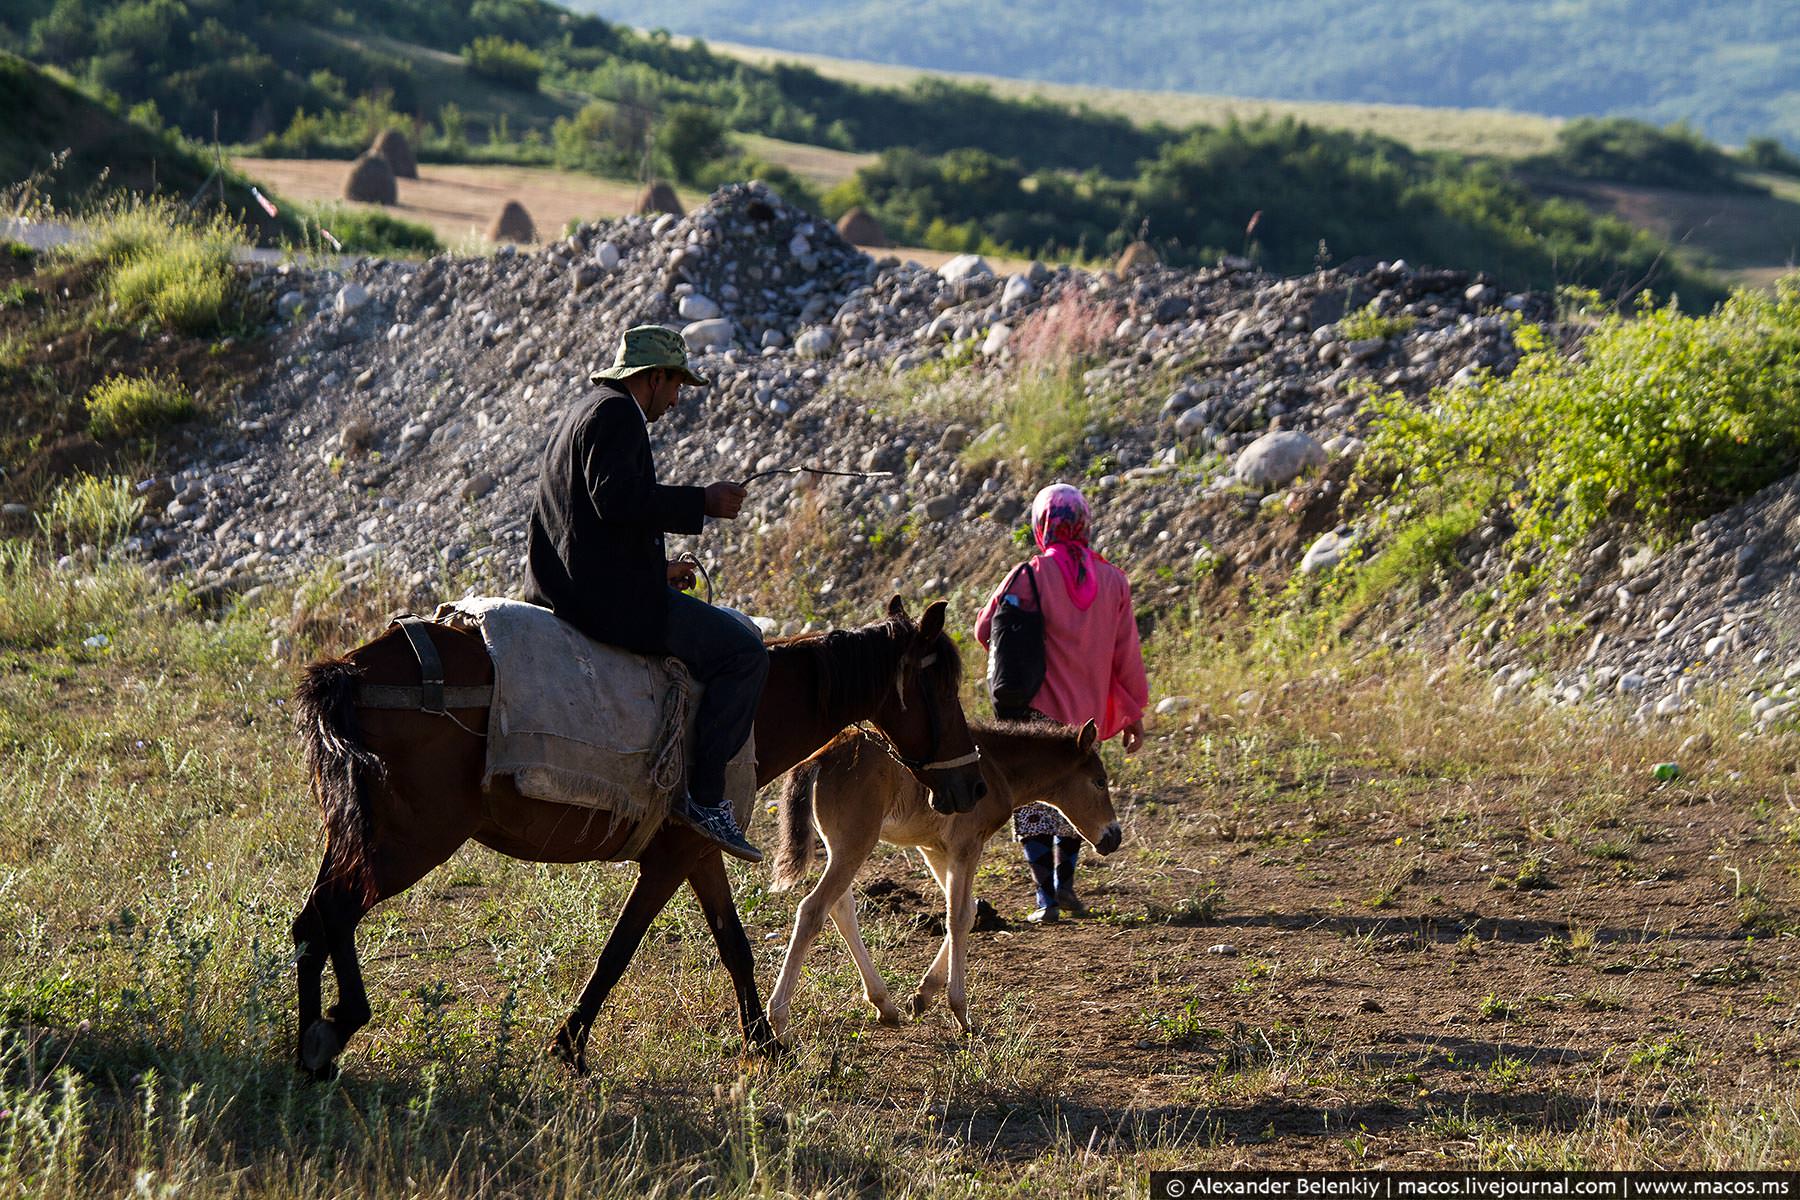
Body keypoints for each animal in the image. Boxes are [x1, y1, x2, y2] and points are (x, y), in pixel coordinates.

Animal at [291, 597, 986, 1072]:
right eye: (941, 689)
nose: (971, 787)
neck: (753, 710)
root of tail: (350, 670)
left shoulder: (700, 851)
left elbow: (734, 946)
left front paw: (764, 1042)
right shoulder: (671, 859)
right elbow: (620, 948)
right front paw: (569, 1043)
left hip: (360, 838)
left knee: (312, 923)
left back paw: (308, 1053)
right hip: (408, 843)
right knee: (335, 914)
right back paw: (337, 1027)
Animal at [766, 719, 1116, 1036]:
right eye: (1100, 781)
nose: (1114, 837)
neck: (994, 766)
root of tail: (820, 757)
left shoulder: (933, 848)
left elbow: (969, 910)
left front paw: (923, 995)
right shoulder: (967, 845)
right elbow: (958, 916)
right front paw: (961, 1012)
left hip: (839, 846)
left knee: (840, 909)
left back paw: (884, 1005)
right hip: (856, 842)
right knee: (813, 909)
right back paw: (779, 1020)